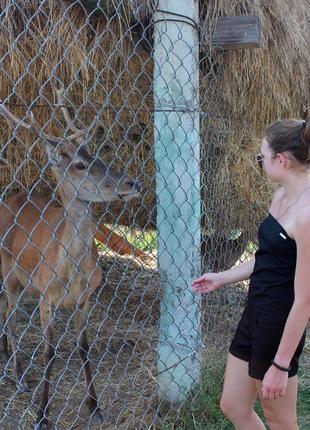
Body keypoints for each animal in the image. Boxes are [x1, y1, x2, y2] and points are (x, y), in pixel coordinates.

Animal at [0, 90, 139, 426]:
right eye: (79, 164)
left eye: (98, 157)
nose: (132, 183)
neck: (71, 272)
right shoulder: (46, 296)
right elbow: (49, 352)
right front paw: (41, 415)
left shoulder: (86, 297)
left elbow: (84, 348)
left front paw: (96, 406)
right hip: (8, 270)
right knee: (9, 316)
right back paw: (17, 375)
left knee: (4, 309)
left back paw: (8, 360)